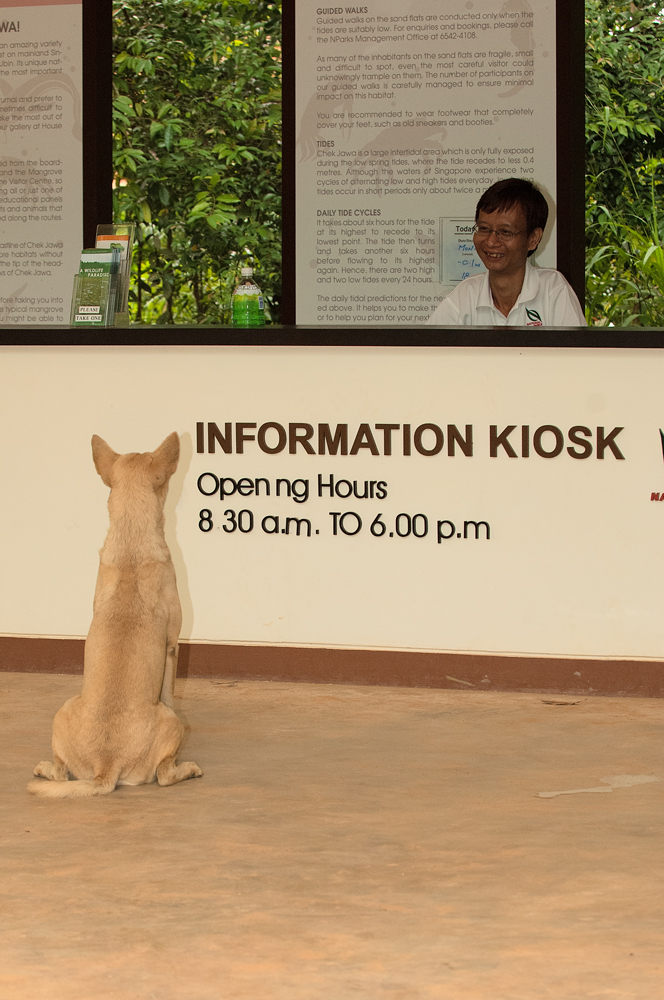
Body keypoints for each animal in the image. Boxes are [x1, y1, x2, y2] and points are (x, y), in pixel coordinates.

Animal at [27, 434, 202, 800]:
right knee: (165, 774)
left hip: (62, 711)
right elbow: (169, 690)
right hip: (170, 724)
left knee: (61, 772)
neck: (131, 544)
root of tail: (105, 764)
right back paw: (188, 769)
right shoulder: (172, 647)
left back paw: (44, 768)